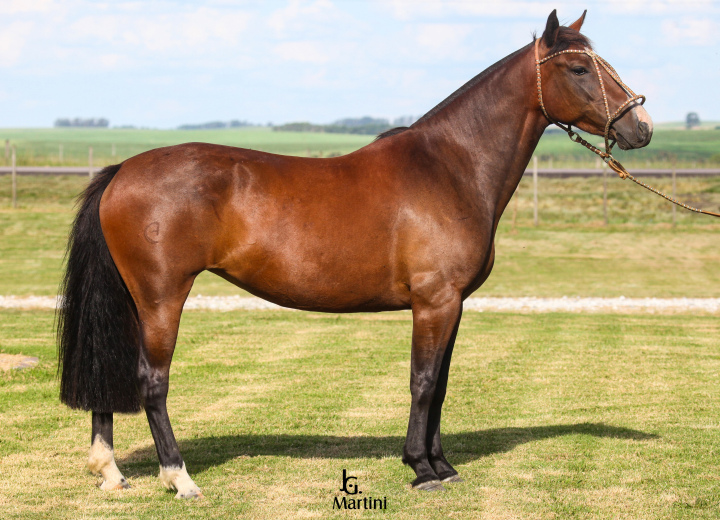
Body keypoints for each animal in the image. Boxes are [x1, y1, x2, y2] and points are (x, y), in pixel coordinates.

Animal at [57, 11, 652, 500]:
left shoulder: (452, 305)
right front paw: (421, 469)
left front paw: (442, 465)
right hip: (162, 296)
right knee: (151, 381)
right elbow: (422, 381)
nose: (640, 127)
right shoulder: (434, 302)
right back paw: (179, 478)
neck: (451, 167)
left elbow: (440, 385)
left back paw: (110, 471)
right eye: (578, 67)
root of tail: (123, 171)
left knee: (110, 366)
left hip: (130, 298)